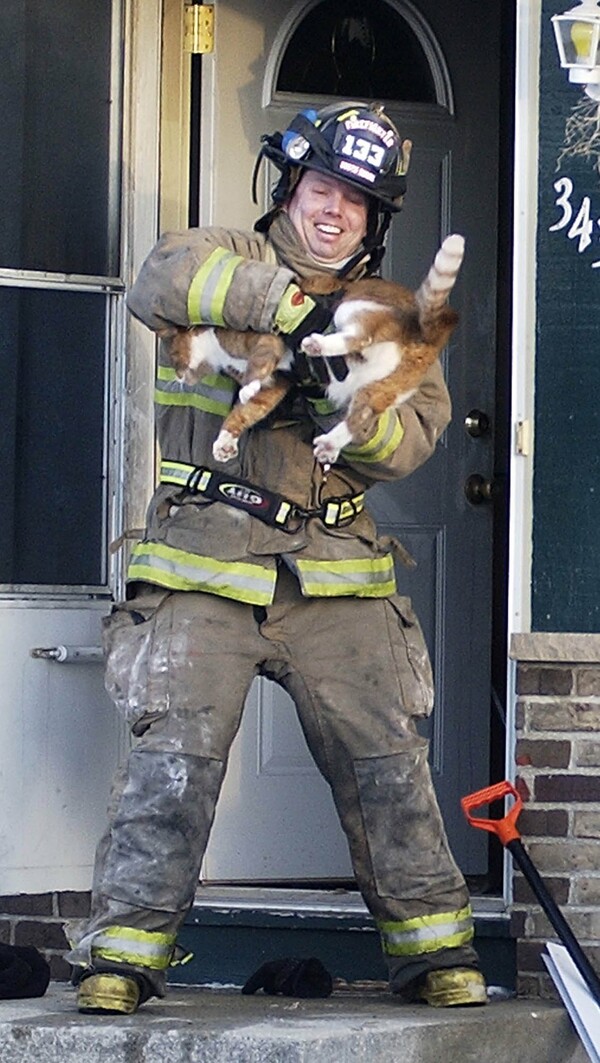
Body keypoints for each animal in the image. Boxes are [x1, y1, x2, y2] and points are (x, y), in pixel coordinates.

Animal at [159, 232, 463, 465]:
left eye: (174, 356)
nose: (178, 377)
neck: (219, 351)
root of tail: (427, 328)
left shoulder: (267, 343)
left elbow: (256, 370)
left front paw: (246, 388)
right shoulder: (276, 386)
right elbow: (242, 413)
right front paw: (224, 442)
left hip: (352, 308)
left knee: (361, 335)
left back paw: (317, 344)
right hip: (382, 388)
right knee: (360, 416)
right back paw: (329, 444)